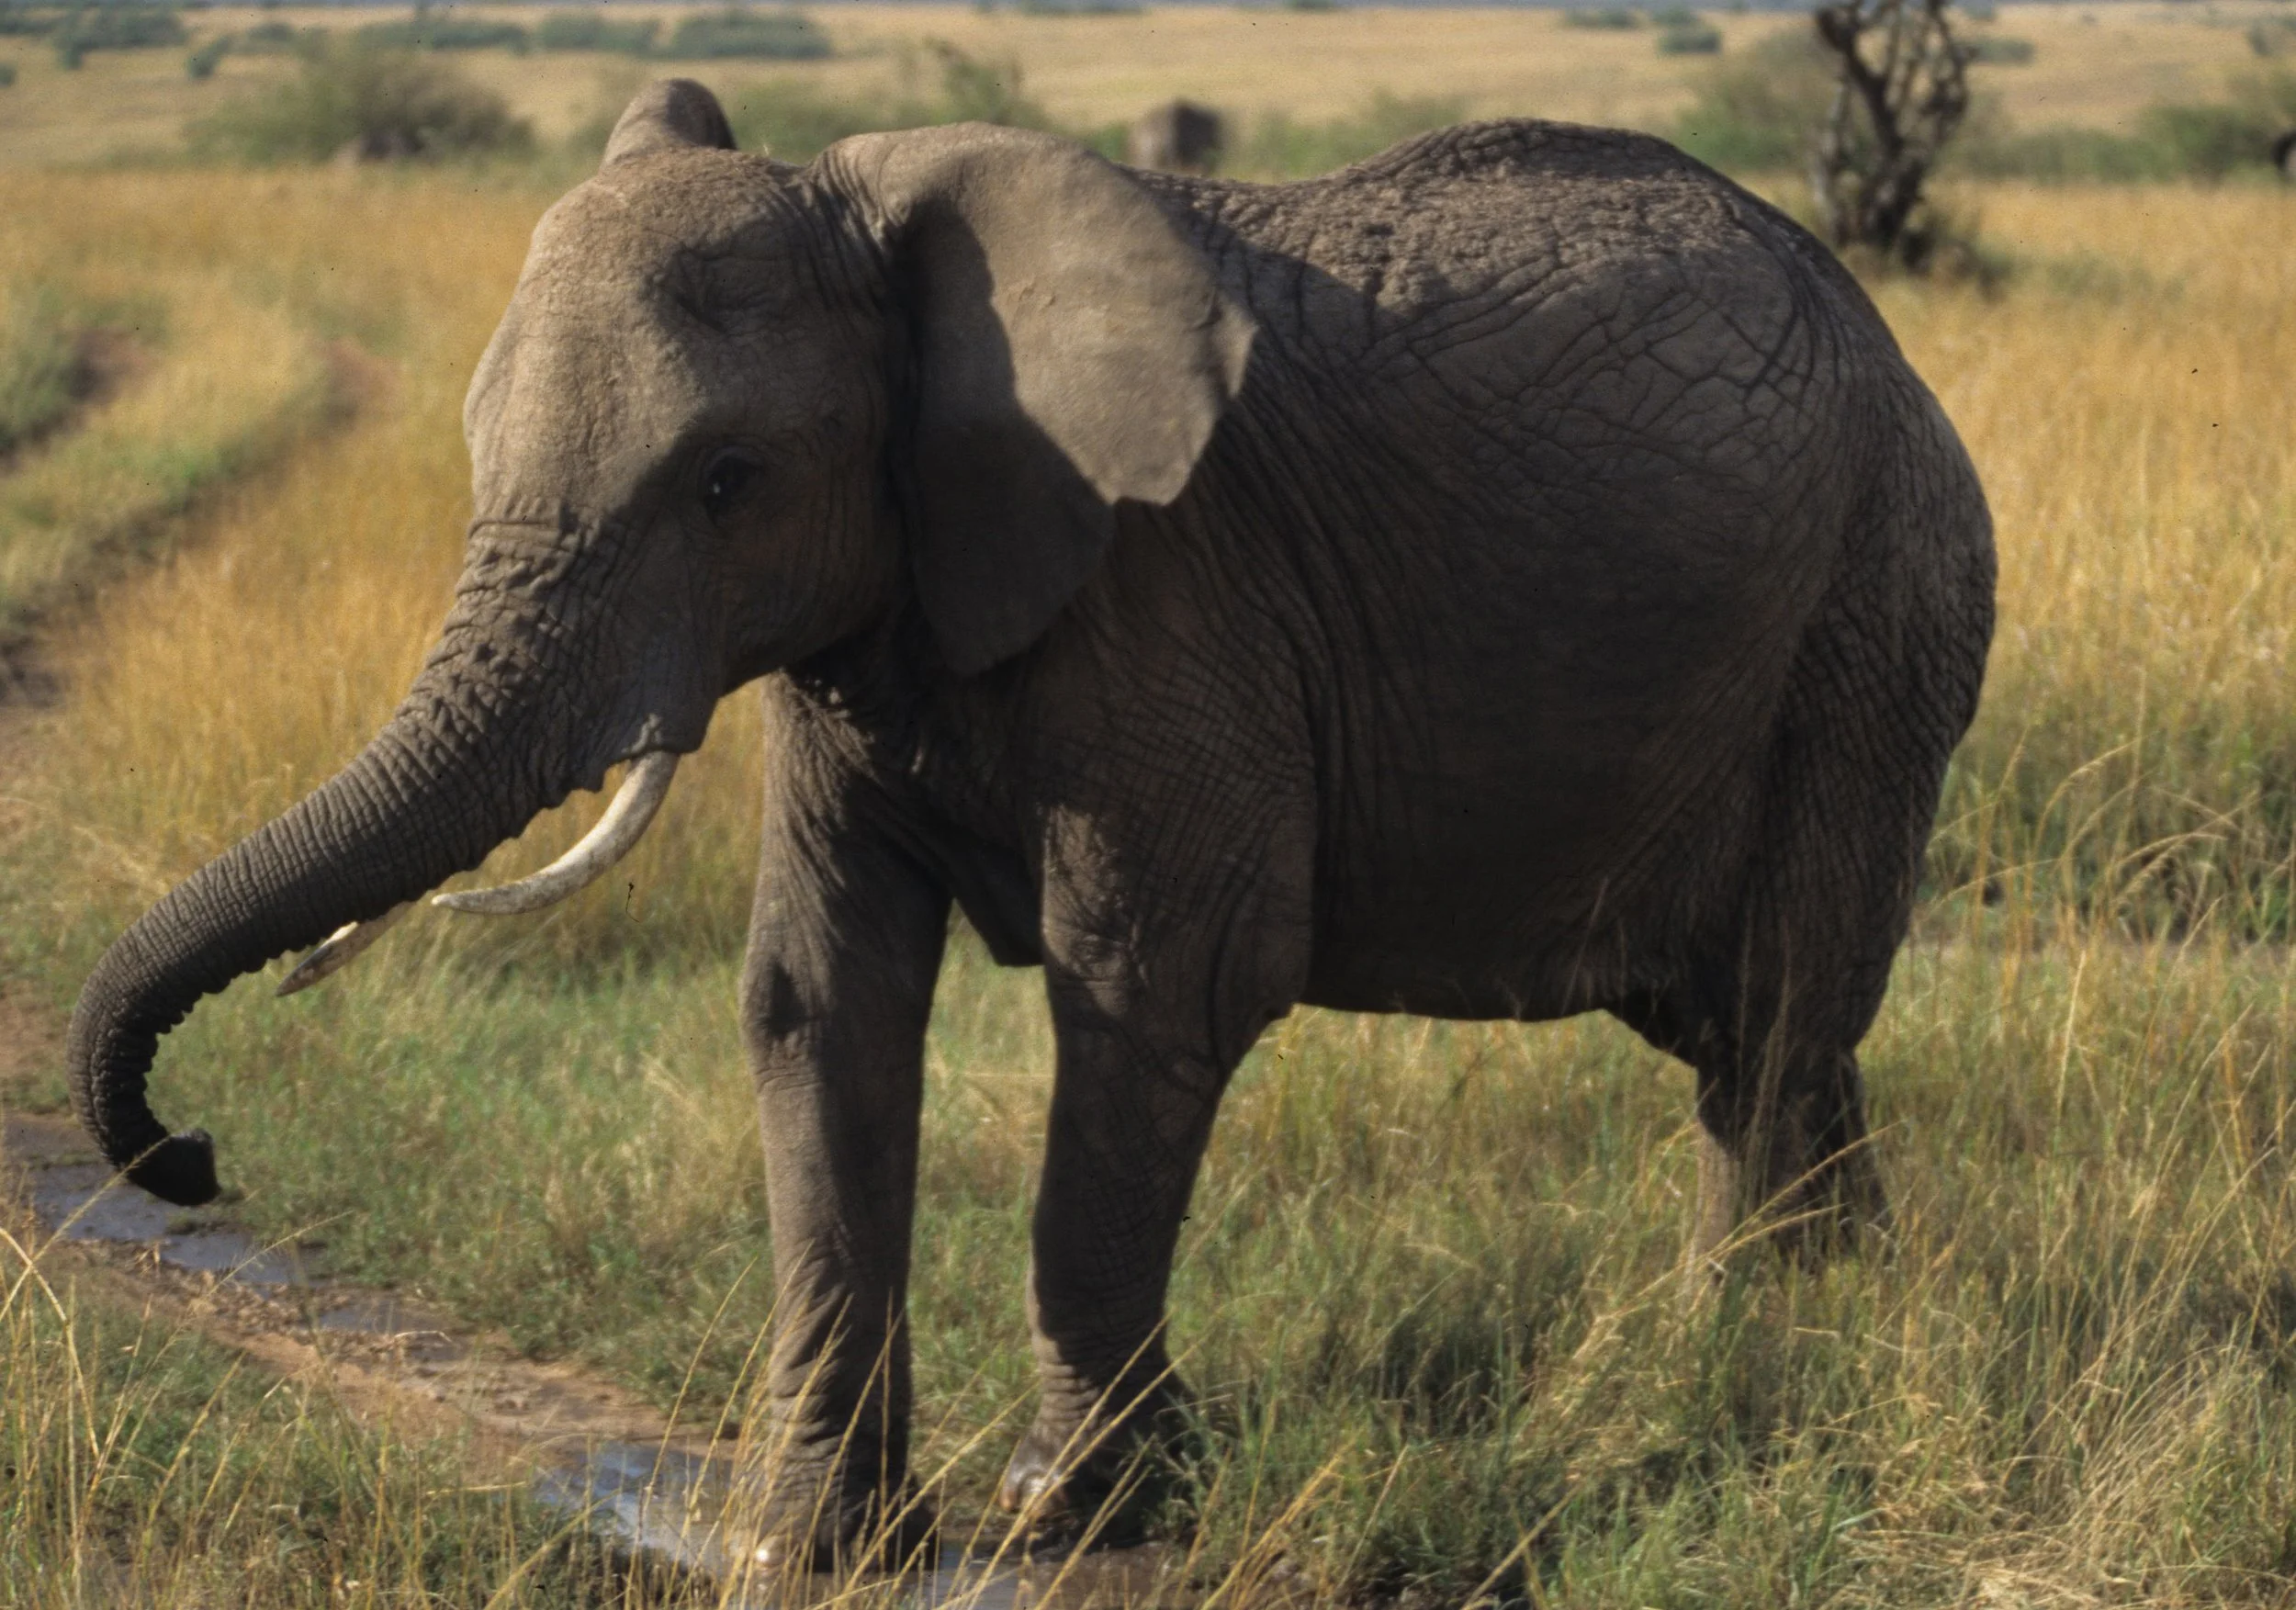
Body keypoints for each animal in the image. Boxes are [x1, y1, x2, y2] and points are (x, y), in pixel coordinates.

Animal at [68, 80, 1994, 1562]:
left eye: (725, 481)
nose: (193, 1154)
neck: (899, 249)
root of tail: (1896, 354)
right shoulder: (873, 617)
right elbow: (819, 998)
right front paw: (817, 1534)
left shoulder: (1172, 592)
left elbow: (1153, 985)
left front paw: (1068, 1511)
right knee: (1765, 1038)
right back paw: (1847, 1324)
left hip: (1878, 610)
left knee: (1778, 1021)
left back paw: (1738, 1355)